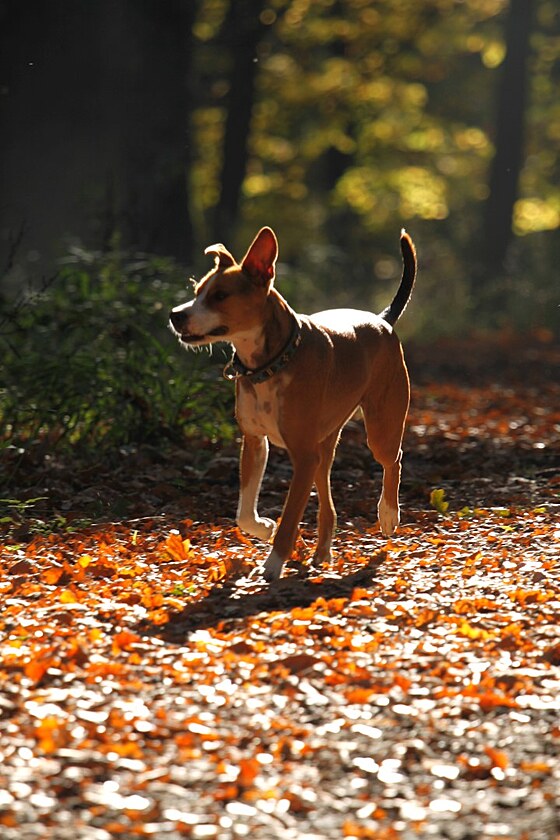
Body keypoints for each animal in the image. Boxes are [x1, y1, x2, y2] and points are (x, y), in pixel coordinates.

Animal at [170, 230, 416, 584]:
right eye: (197, 292)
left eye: (219, 295)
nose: (176, 315)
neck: (271, 364)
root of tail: (381, 321)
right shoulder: (255, 443)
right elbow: (244, 513)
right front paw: (263, 528)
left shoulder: (302, 455)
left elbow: (289, 519)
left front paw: (273, 564)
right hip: (323, 447)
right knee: (328, 503)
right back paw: (322, 551)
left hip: (379, 428)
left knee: (393, 460)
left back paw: (388, 514)